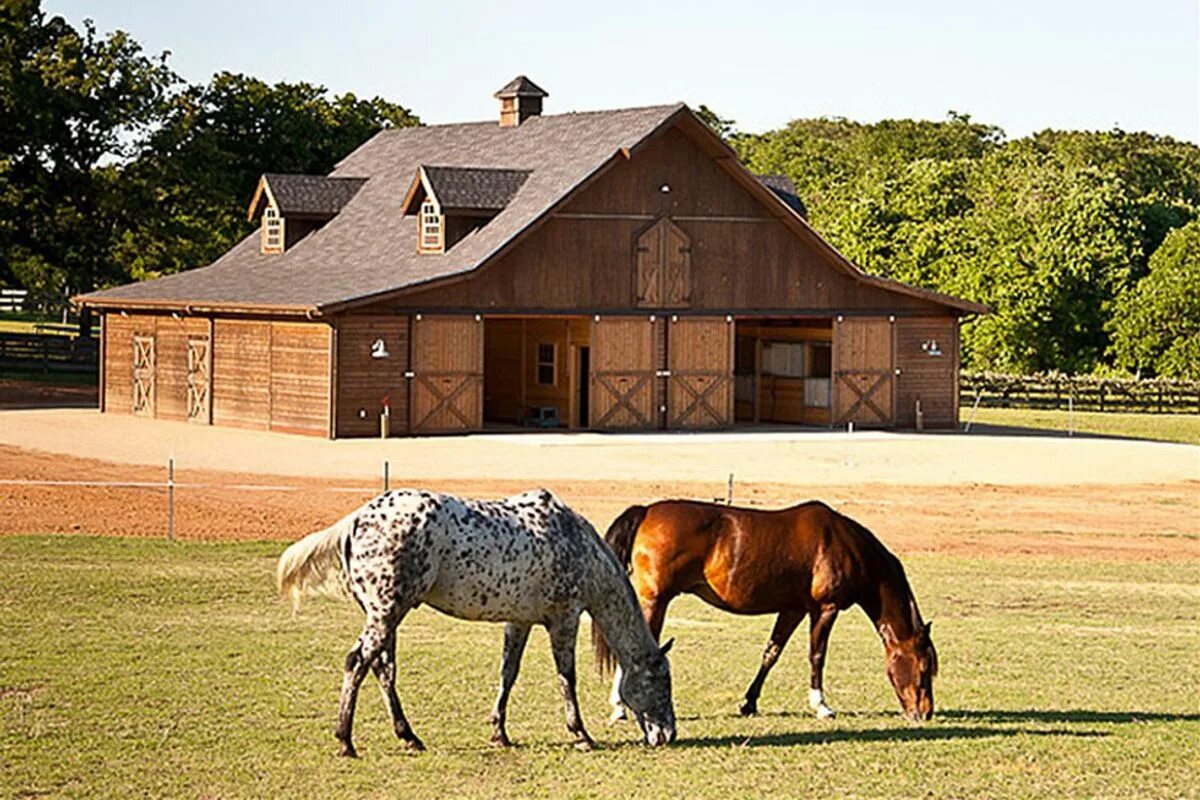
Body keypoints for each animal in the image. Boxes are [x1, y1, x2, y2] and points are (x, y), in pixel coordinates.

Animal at [276, 489, 681, 758]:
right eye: (663, 682)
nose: (669, 733)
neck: (574, 542)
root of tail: (359, 519)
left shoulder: (519, 622)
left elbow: (508, 674)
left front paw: (500, 732)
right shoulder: (564, 619)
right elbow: (567, 679)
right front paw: (580, 734)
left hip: (387, 616)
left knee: (382, 669)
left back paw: (409, 736)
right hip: (387, 614)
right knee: (358, 663)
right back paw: (345, 740)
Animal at [600, 501, 936, 724]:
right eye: (923, 668)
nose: (925, 712)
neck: (843, 544)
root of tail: (647, 511)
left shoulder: (793, 609)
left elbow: (771, 653)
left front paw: (749, 702)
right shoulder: (825, 609)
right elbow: (817, 656)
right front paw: (821, 706)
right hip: (655, 601)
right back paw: (619, 706)